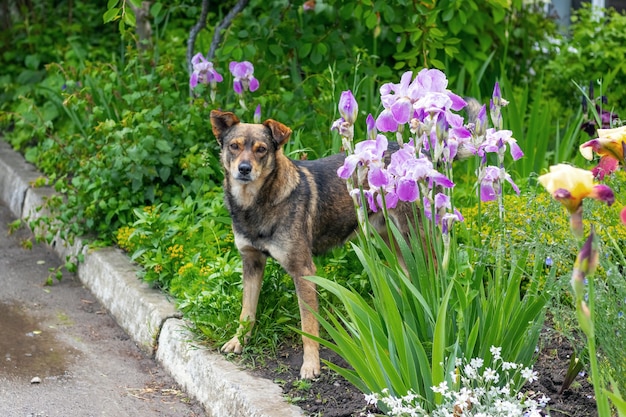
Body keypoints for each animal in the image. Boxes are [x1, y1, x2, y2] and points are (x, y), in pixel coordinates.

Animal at [211, 109, 414, 378]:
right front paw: (239, 341)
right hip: (392, 240)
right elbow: (247, 311)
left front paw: (310, 365)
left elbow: (308, 326)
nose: (244, 169)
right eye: (234, 146)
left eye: (261, 149)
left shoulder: (303, 271)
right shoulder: (251, 262)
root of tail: (406, 149)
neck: (255, 204)